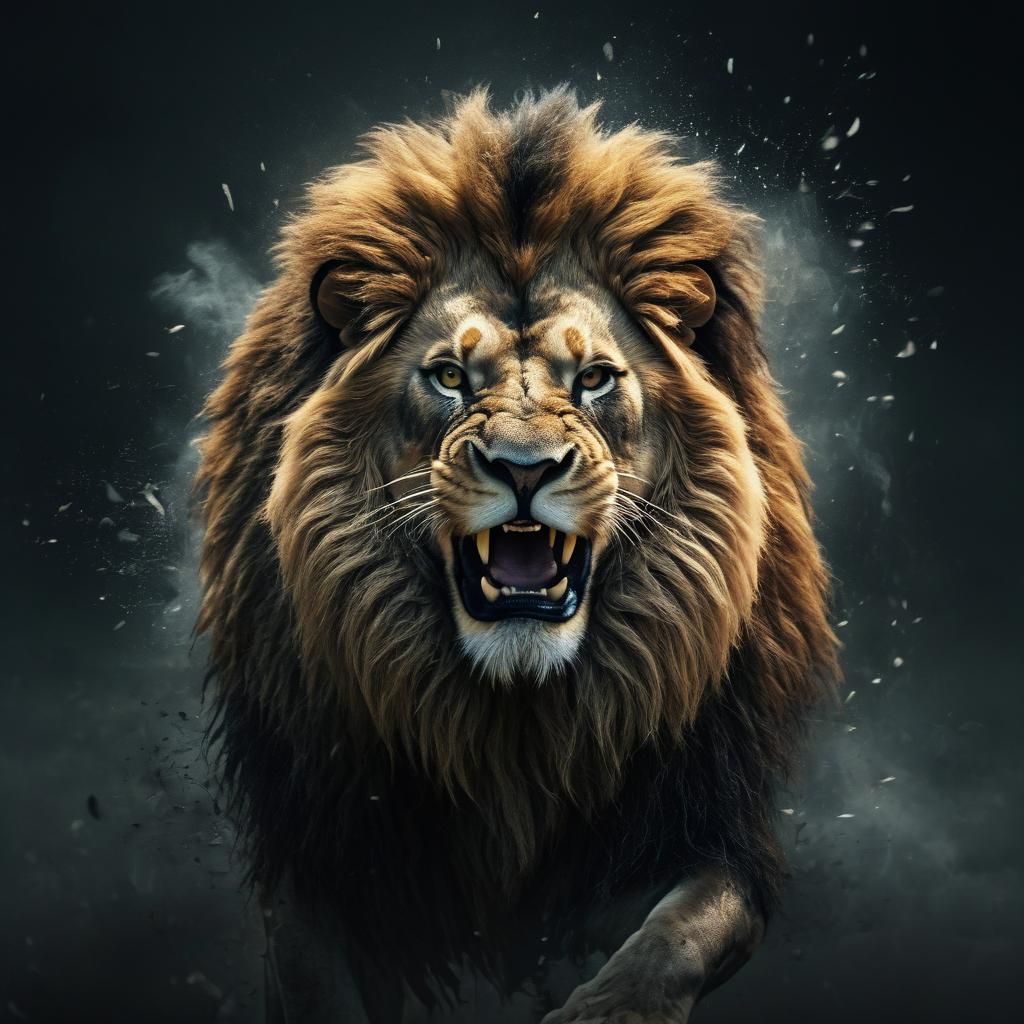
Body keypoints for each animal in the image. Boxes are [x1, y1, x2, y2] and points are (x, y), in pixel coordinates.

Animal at [195, 88, 837, 1023]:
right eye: (449, 377)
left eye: (595, 378)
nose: (525, 468)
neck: (515, 724)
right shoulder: (320, 858)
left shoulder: (704, 824)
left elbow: (675, 935)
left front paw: (606, 1007)